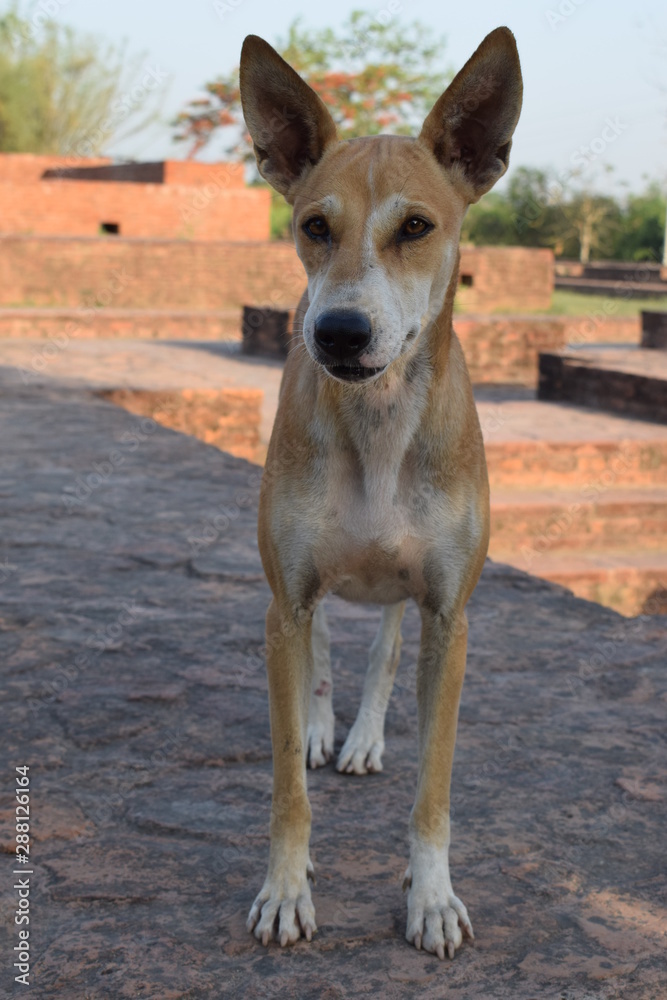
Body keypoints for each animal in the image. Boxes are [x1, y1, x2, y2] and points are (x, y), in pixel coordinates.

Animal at [243, 27, 524, 956]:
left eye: (415, 227)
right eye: (312, 226)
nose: (336, 332)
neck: (376, 421)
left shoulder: (449, 613)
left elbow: (432, 786)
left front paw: (430, 896)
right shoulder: (285, 599)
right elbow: (287, 782)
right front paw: (285, 889)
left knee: (384, 646)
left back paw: (361, 733)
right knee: (328, 641)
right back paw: (324, 723)